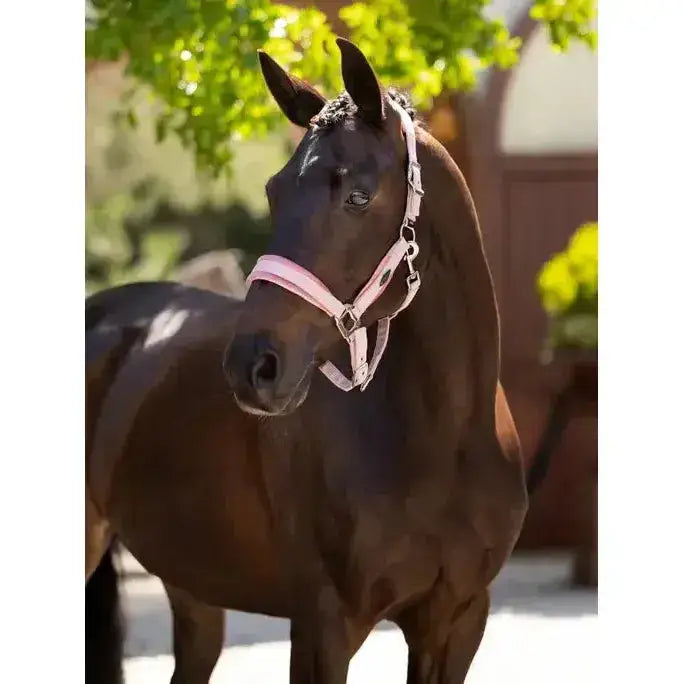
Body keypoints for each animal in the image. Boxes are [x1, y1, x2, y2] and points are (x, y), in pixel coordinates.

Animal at [86, 38, 532, 684]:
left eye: (357, 195)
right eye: (274, 191)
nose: (253, 366)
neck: (443, 442)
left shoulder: (457, 624)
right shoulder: (324, 626)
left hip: (193, 587)